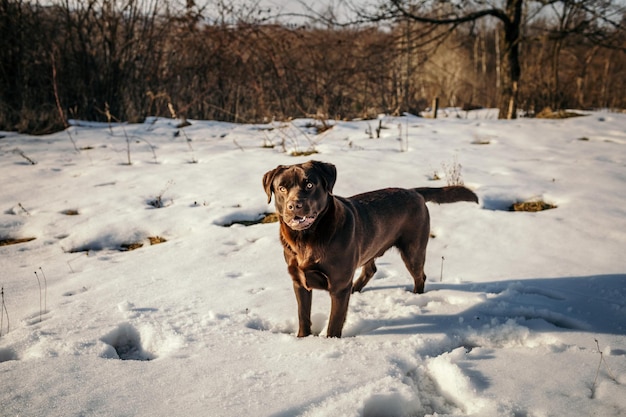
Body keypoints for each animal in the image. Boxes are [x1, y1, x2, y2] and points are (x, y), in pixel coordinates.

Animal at [260, 161, 476, 336]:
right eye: (282, 188)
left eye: (310, 184)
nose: (294, 205)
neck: (306, 239)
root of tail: (414, 191)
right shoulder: (299, 281)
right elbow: (303, 316)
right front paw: (302, 339)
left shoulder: (338, 286)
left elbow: (334, 322)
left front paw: (330, 341)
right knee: (370, 269)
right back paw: (355, 290)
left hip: (413, 250)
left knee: (419, 276)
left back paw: (415, 297)